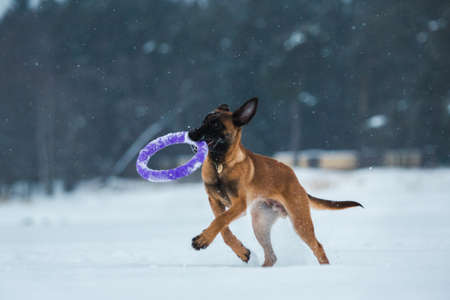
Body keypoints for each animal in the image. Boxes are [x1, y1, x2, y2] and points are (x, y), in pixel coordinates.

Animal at [187, 97, 362, 266]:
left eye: (216, 124)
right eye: (204, 121)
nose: (190, 134)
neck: (220, 164)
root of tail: (297, 182)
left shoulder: (239, 204)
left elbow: (221, 220)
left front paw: (202, 240)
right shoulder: (215, 201)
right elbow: (223, 228)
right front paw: (240, 251)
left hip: (300, 222)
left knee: (317, 246)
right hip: (260, 223)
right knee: (271, 256)